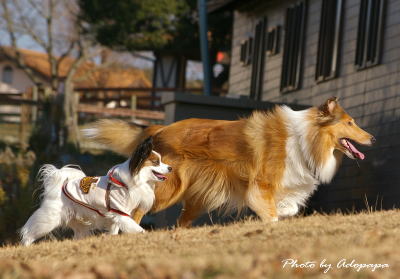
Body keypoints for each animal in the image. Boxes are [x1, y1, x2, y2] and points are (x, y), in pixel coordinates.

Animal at [20, 138, 170, 247]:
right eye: (156, 162)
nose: (171, 168)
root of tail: (60, 185)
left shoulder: (116, 218)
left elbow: (114, 232)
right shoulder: (121, 214)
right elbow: (138, 229)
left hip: (78, 223)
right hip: (50, 219)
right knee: (30, 231)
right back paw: (26, 245)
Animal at [83, 98, 376, 228]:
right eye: (350, 123)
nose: (372, 138)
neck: (306, 138)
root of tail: (159, 129)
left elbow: (288, 208)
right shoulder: (260, 186)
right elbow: (270, 212)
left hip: (197, 197)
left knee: (179, 222)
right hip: (168, 188)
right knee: (136, 211)